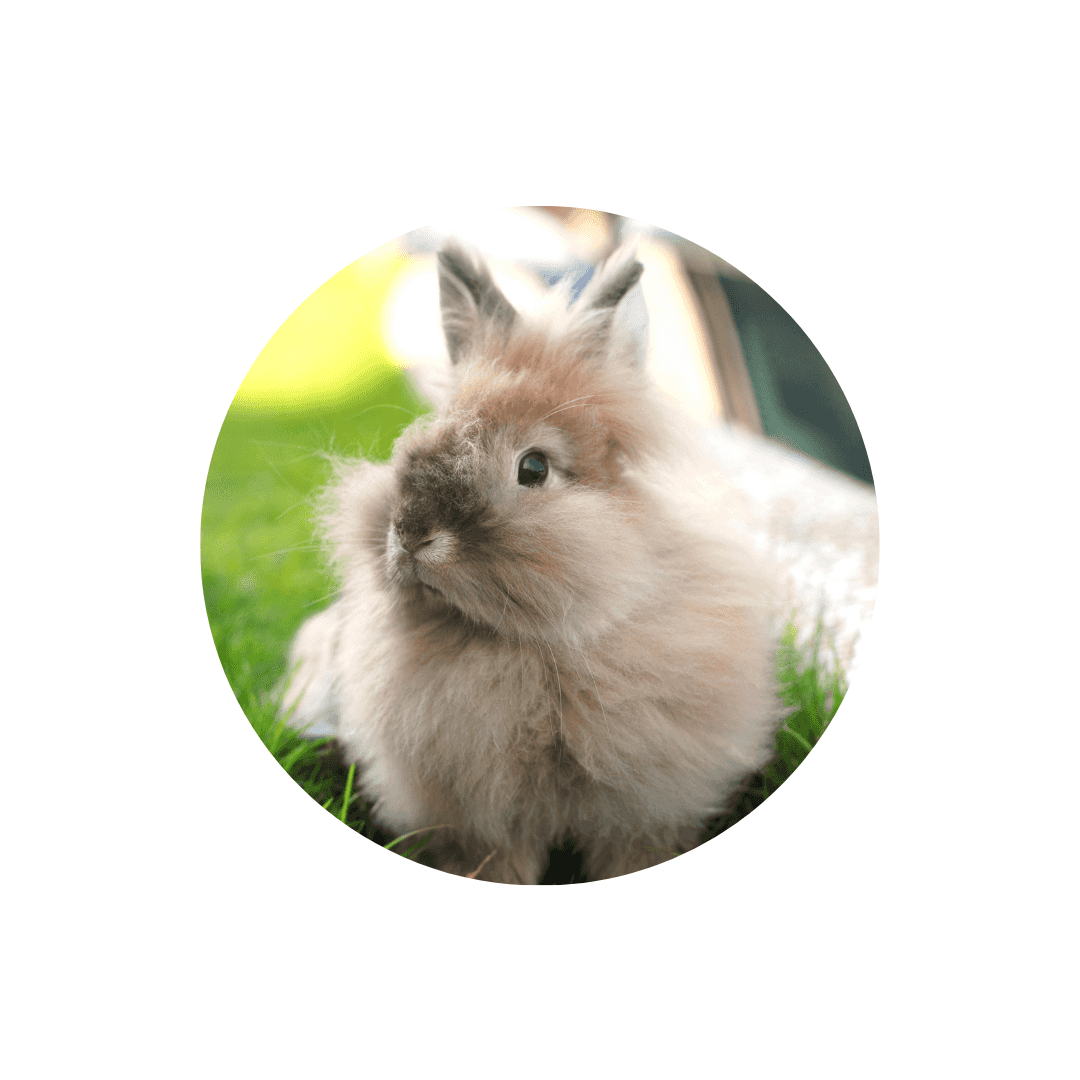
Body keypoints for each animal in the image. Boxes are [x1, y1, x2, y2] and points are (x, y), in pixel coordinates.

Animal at [281, 240, 785, 884]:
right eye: (416, 441)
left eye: (535, 468)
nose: (411, 533)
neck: (534, 648)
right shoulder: (484, 821)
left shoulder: (643, 812)